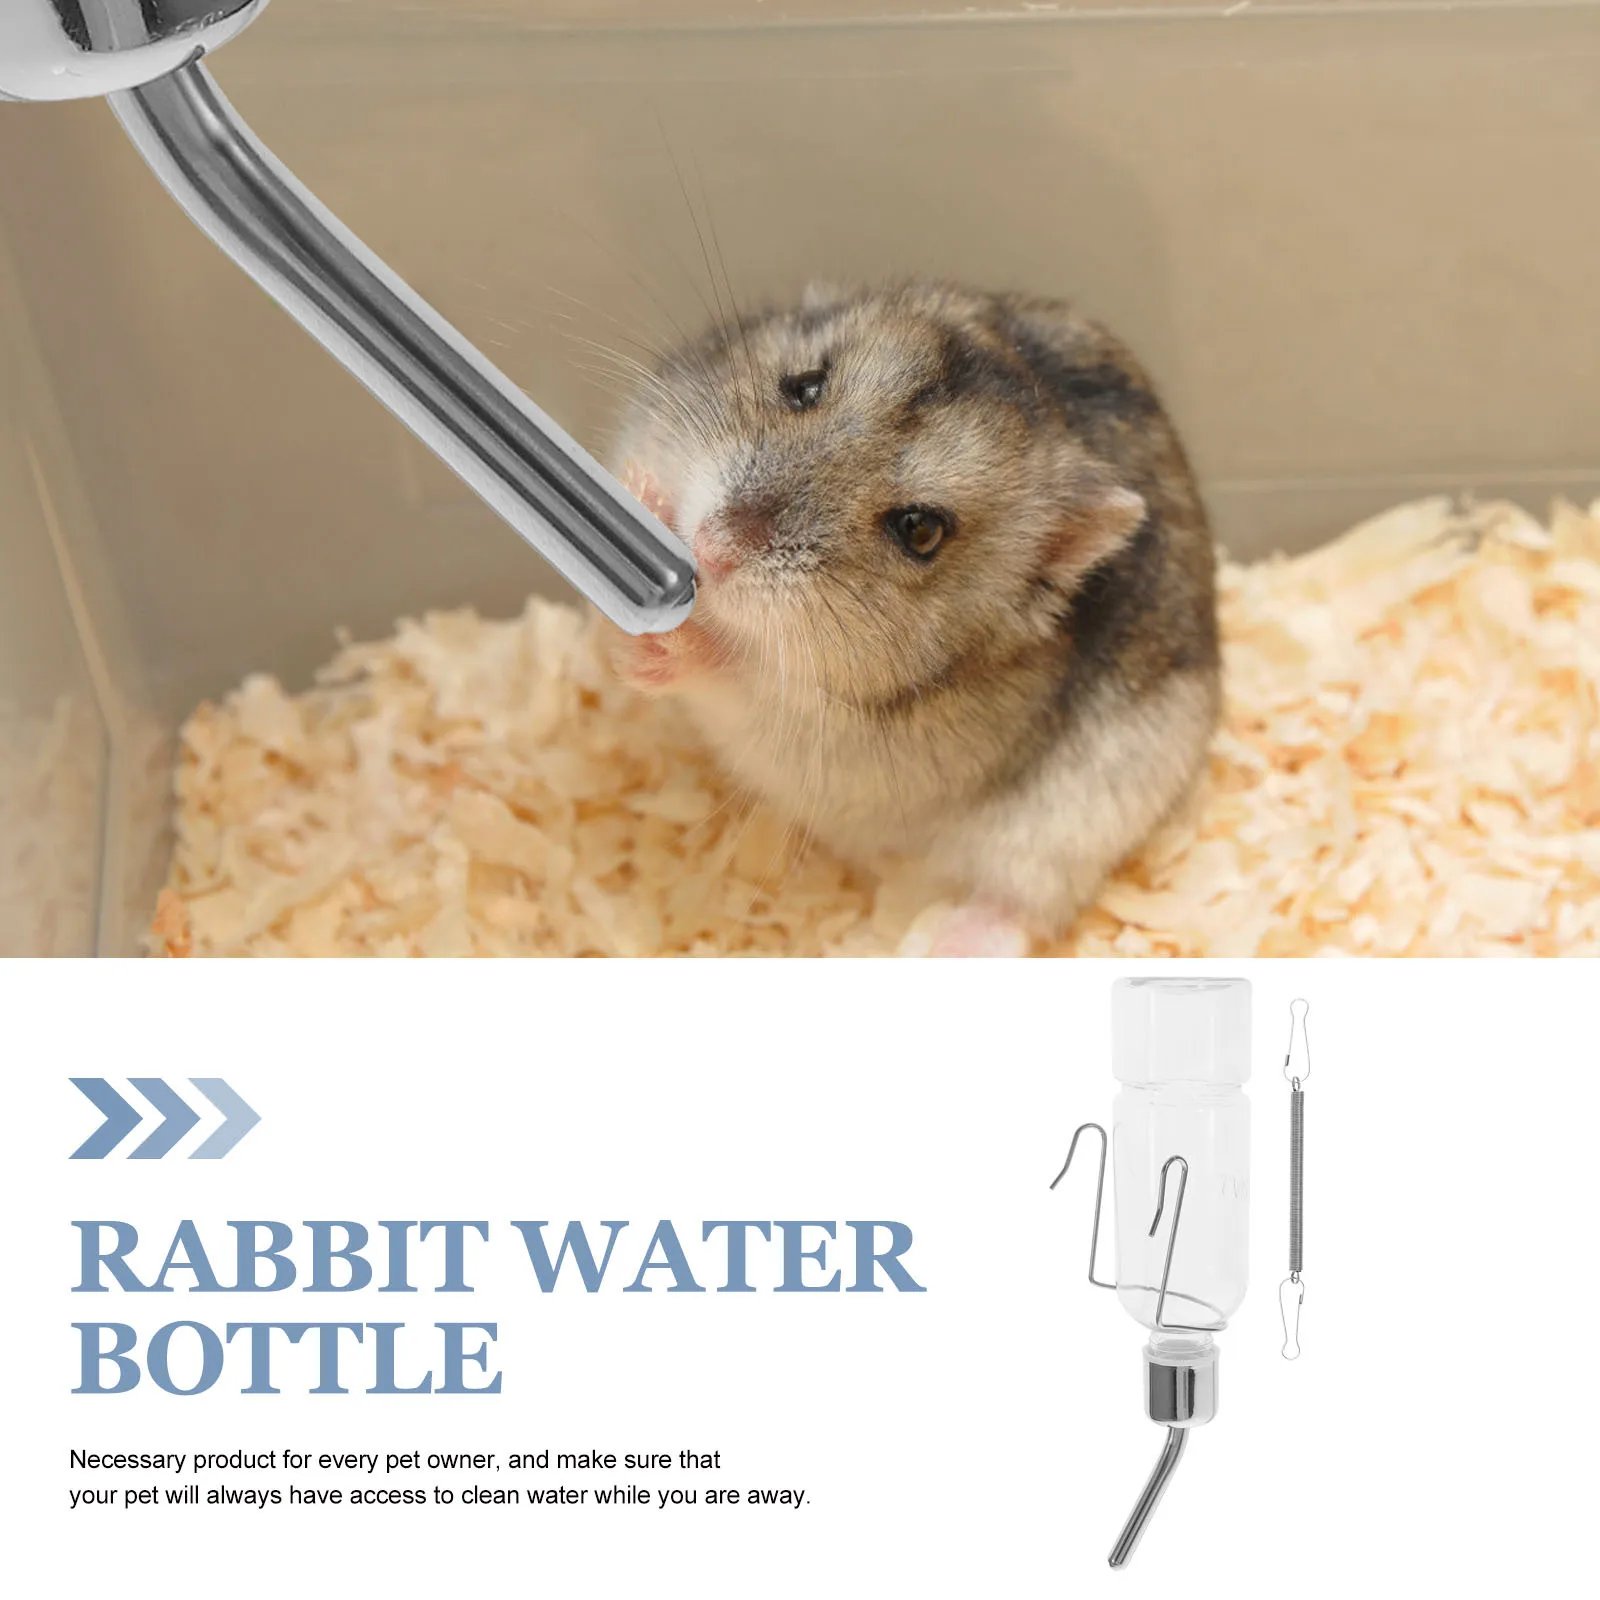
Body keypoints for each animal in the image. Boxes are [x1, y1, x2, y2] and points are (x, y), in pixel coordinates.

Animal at [603, 280, 1220, 954]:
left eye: (920, 530)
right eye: (805, 385)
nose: (712, 548)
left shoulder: (822, 728)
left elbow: (736, 674)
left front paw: (664, 648)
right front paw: (640, 493)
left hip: (1070, 833)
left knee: (1023, 908)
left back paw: (933, 943)